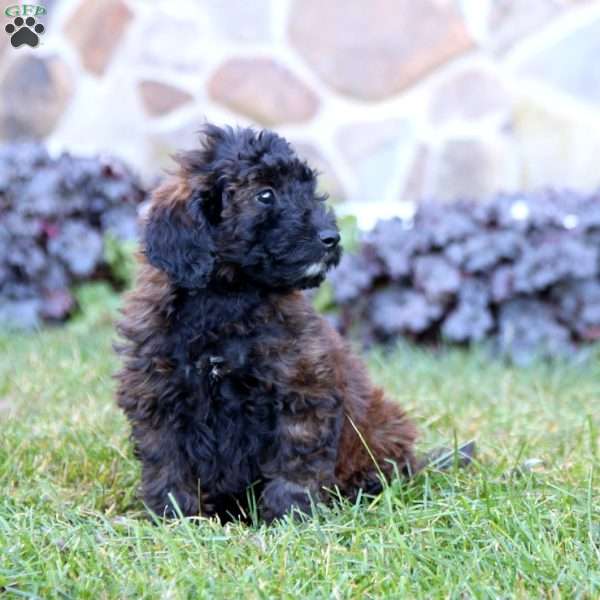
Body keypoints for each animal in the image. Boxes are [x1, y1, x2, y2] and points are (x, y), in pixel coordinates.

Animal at [117, 124, 418, 524]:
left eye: (307, 188)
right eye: (265, 194)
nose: (331, 238)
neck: (226, 298)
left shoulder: (301, 388)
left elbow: (295, 459)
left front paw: (288, 516)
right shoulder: (158, 392)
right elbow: (166, 460)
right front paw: (174, 515)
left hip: (383, 427)